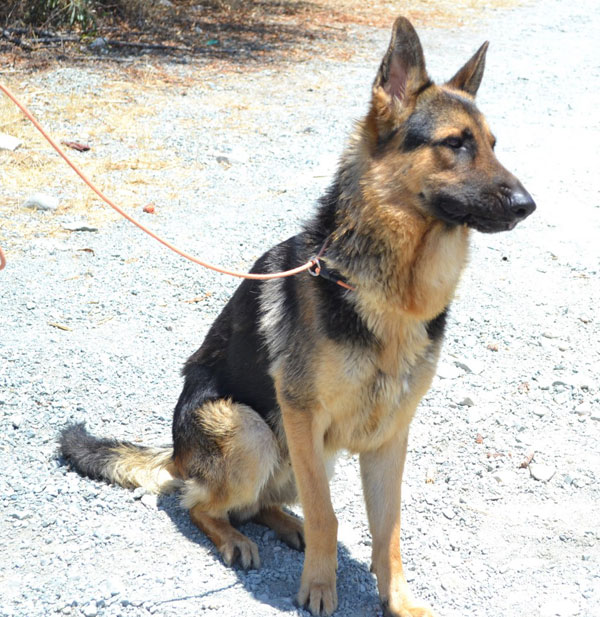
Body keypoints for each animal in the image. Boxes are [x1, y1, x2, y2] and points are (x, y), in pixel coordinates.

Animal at [61, 18, 536, 616]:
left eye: (493, 146)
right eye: (456, 144)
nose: (528, 205)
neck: (391, 289)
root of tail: (176, 454)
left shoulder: (390, 435)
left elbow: (389, 529)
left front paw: (397, 599)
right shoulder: (304, 416)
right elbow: (330, 515)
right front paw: (319, 588)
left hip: (296, 452)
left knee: (260, 503)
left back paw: (286, 524)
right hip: (254, 432)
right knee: (202, 506)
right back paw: (235, 538)